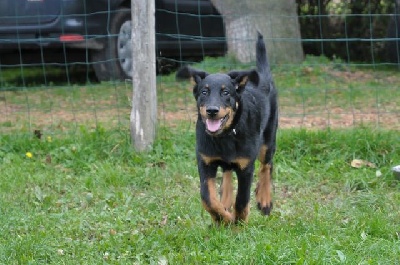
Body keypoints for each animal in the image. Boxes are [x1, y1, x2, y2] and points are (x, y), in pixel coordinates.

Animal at [178, 32, 278, 223]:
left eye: (226, 92)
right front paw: (222, 218)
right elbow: (207, 198)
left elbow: (242, 198)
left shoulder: (246, 165)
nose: (212, 110)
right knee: (227, 171)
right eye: (204, 92)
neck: (225, 136)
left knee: (266, 165)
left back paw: (264, 200)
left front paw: (238, 221)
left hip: (268, 138)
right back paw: (225, 200)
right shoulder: (205, 161)